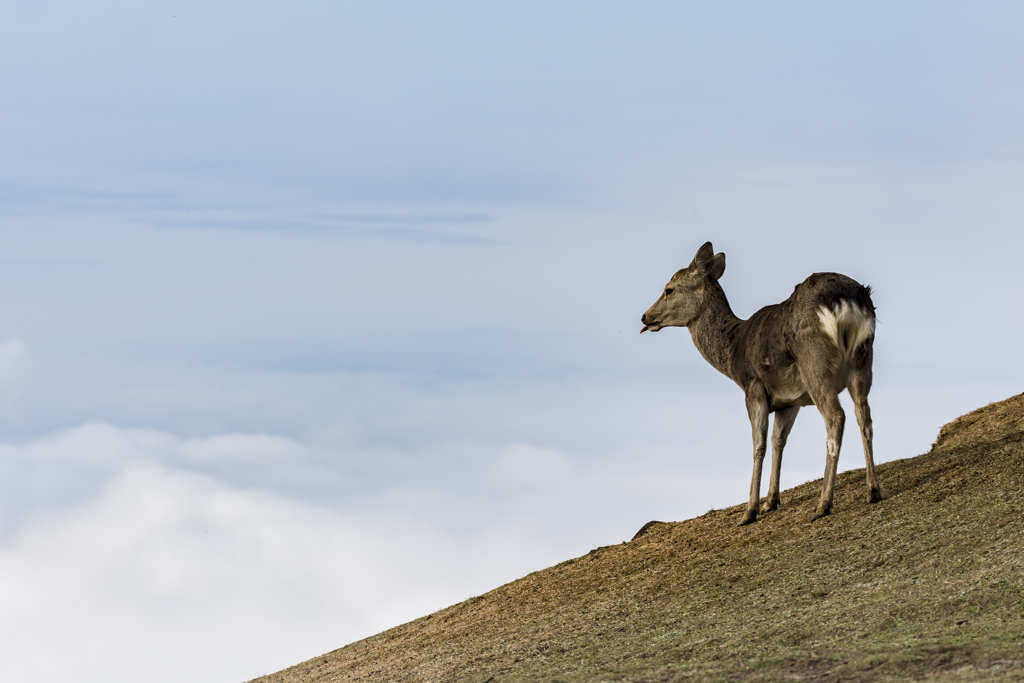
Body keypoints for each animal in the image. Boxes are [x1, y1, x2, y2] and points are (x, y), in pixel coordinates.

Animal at [638, 242, 880, 528]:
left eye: (669, 289)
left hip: (814, 362)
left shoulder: (753, 387)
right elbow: (778, 441)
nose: (645, 317)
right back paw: (873, 490)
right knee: (864, 414)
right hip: (863, 360)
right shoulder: (790, 400)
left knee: (836, 416)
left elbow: (758, 445)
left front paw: (749, 511)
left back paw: (823, 505)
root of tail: (846, 300)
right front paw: (770, 502)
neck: (733, 353)